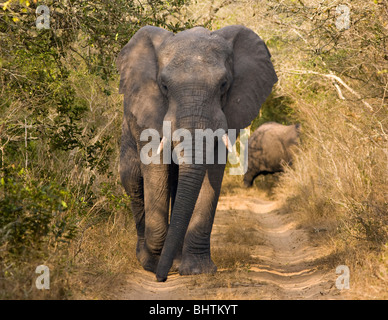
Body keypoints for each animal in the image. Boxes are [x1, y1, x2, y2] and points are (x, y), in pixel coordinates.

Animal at [116, 25, 278, 282]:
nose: (161, 278)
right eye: (163, 85)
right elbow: (155, 169)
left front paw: (197, 271)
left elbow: (211, 173)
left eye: (223, 84)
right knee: (132, 179)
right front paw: (155, 264)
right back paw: (148, 259)